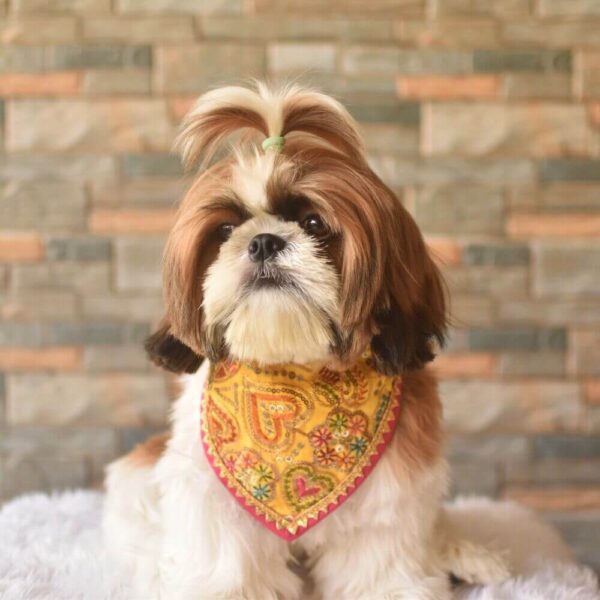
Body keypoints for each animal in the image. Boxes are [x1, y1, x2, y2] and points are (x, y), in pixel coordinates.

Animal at [102, 84, 506, 600]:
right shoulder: (212, 498)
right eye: (225, 230)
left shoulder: (389, 499)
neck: (296, 372)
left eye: (314, 223)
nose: (263, 241)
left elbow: (379, 562)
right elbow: (227, 563)